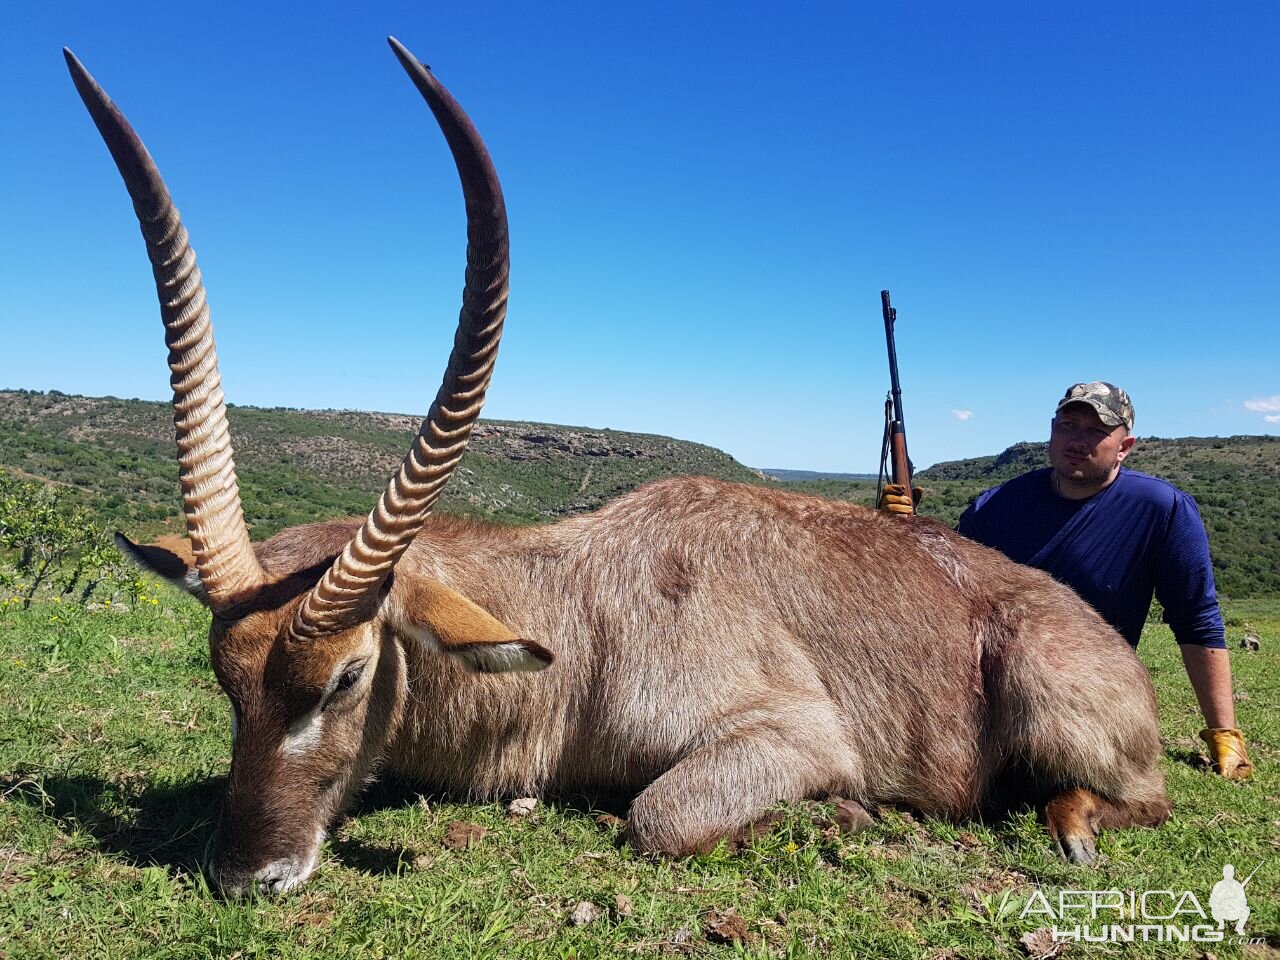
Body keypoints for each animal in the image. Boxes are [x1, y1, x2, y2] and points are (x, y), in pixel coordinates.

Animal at [67, 35, 1172, 896]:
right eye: (225, 684)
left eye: (345, 677)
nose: (245, 875)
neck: (583, 616)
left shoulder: (791, 733)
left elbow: (657, 818)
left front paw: (844, 814)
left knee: (1143, 801)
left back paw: (1068, 824)